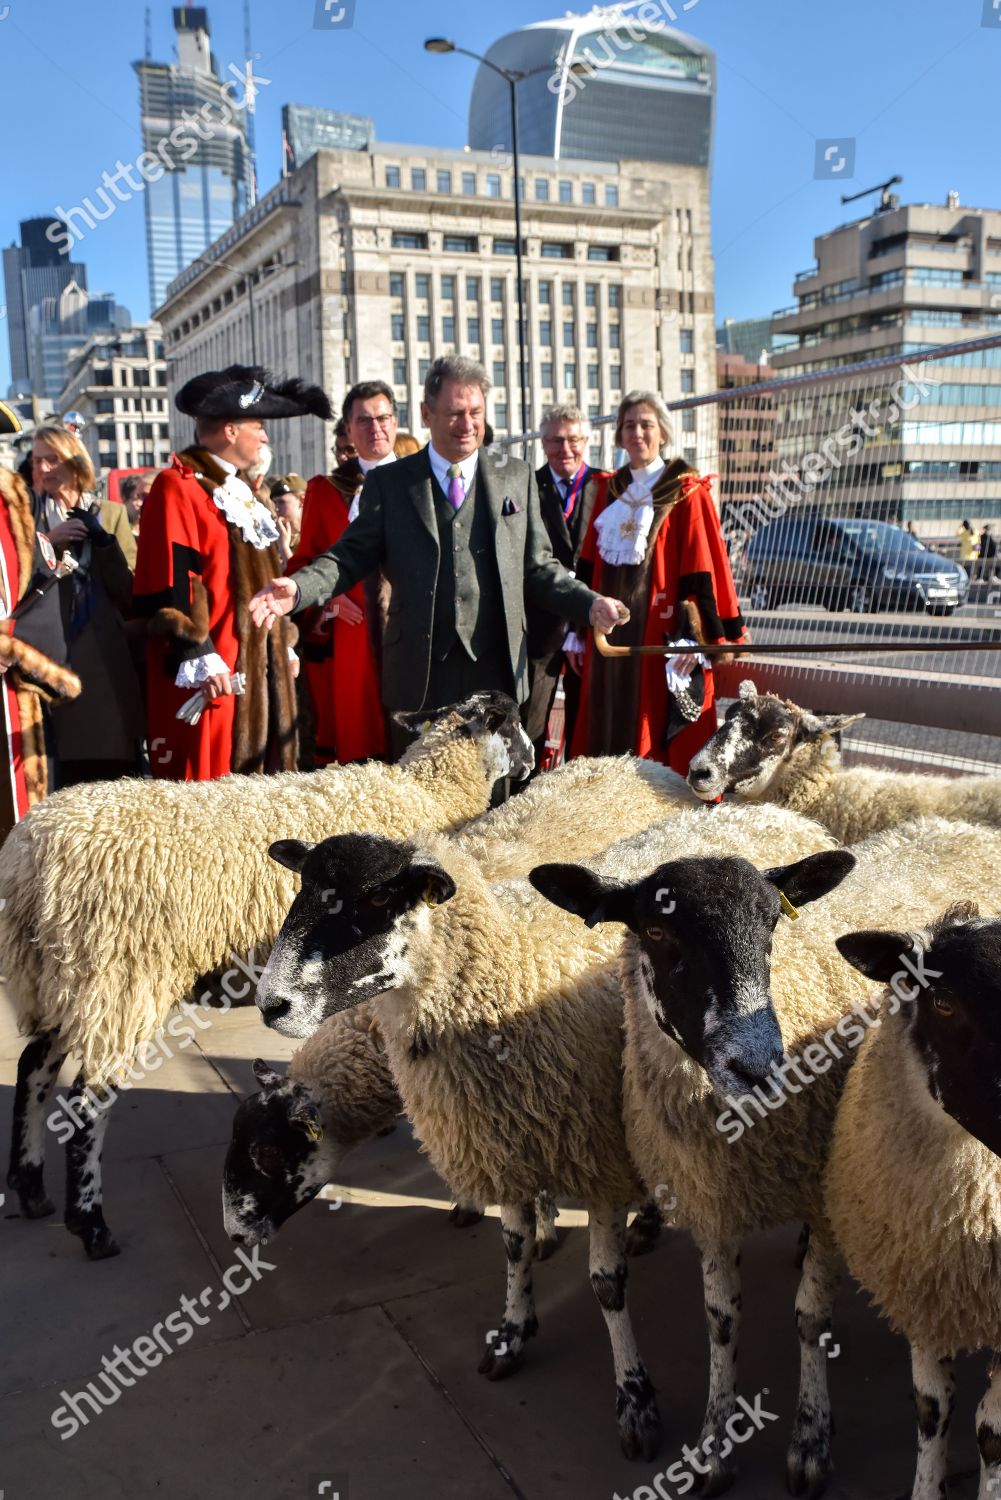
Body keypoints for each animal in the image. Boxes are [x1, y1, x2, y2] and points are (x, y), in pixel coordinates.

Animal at [3, 693, 537, 1266]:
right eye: (512, 721)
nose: (532, 761)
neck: (431, 790)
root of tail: (25, 861)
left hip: (57, 978)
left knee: (34, 1068)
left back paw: (30, 1189)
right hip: (115, 975)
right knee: (87, 1102)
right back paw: (91, 1225)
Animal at [252, 804, 840, 1458]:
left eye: (378, 895)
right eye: (303, 885)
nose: (270, 1004)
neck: (506, 976)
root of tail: (767, 808)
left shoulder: (600, 1156)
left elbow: (607, 1285)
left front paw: (635, 1400)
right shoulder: (502, 1144)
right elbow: (511, 1246)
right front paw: (512, 1330)